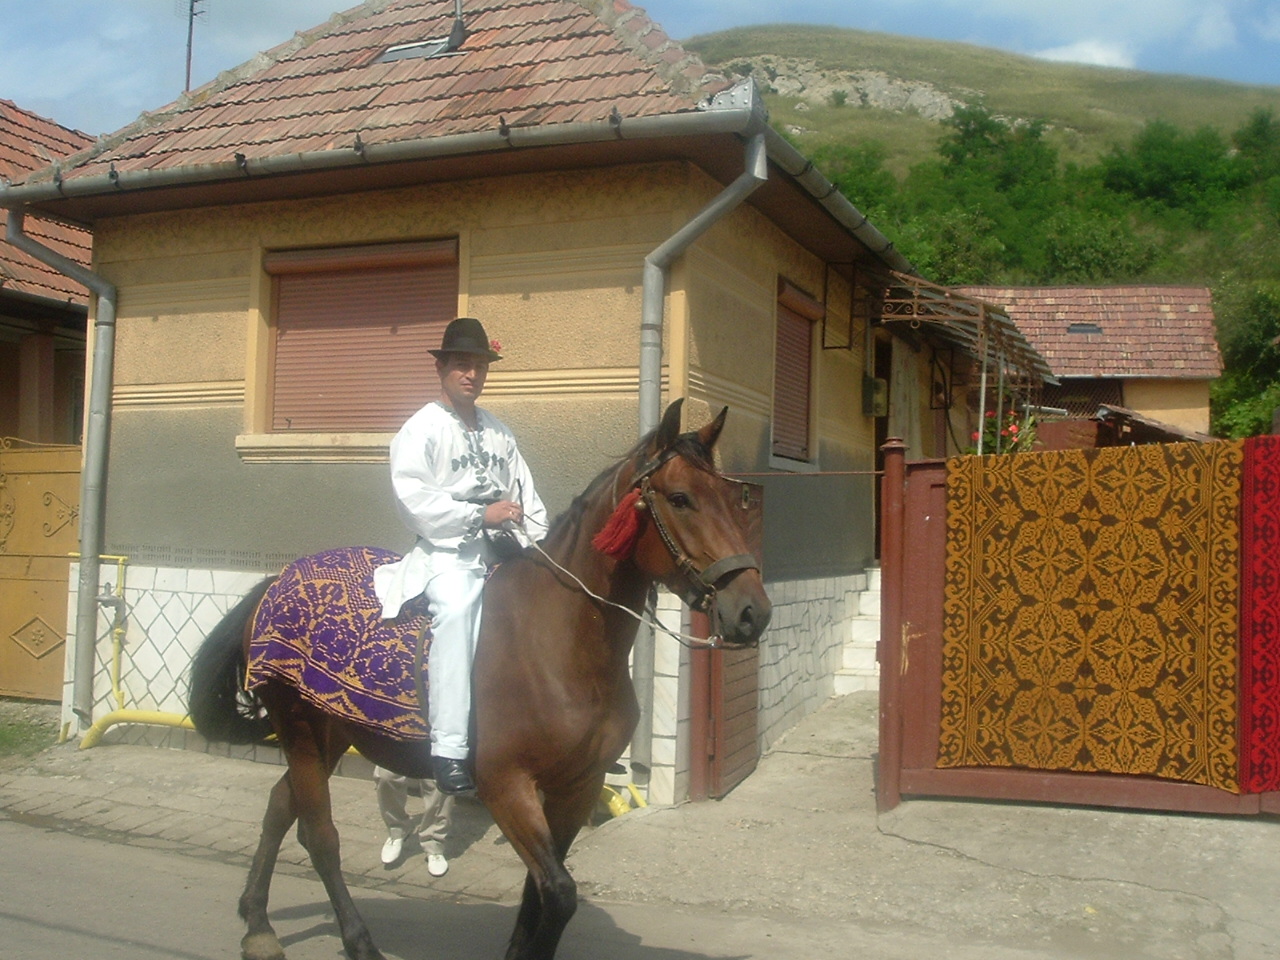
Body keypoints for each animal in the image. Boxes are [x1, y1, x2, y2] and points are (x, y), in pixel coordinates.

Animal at [187, 398, 772, 960]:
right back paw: (357, 941)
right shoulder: (506, 786)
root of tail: (274, 583)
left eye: (731, 497)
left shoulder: (576, 787)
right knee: (319, 836)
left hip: (328, 734)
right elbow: (559, 893)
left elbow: (541, 892)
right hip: (302, 732)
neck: (561, 645)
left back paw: (257, 925)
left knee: (279, 809)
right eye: (680, 498)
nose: (752, 613)